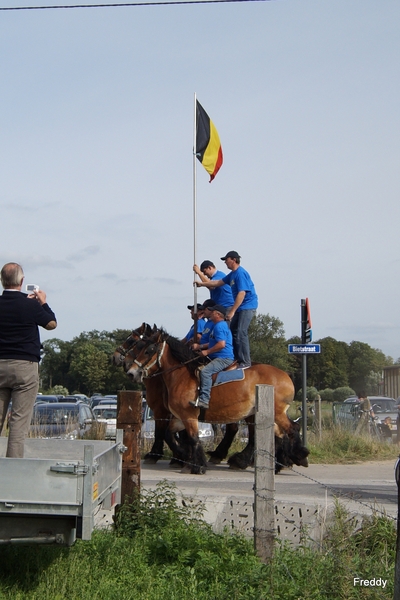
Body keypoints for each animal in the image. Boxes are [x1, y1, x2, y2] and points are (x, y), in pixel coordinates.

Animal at [124, 328, 310, 474]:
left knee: (291, 429)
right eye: (138, 347)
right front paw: (185, 458)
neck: (182, 375)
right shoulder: (178, 417)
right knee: (279, 435)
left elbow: (192, 438)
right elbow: (170, 435)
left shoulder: (187, 415)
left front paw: (196, 465)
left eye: (148, 349)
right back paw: (276, 464)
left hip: (274, 413)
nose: (131, 373)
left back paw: (297, 456)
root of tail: (285, 375)